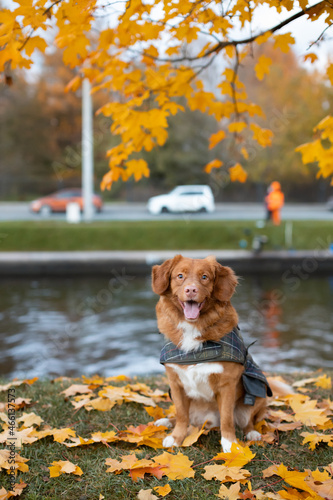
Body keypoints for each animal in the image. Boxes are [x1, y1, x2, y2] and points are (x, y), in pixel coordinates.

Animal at [152, 254, 272, 454]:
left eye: (204, 277)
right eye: (180, 276)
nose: (191, 289)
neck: (193, 329)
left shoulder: (227, 384)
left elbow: (227, 419)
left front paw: (230, 444)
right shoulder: (175, 383)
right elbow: (181, 415)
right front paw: (176, 438)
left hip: (258, 398)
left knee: (246, 421)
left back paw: (252, 433)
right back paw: (165, 422)